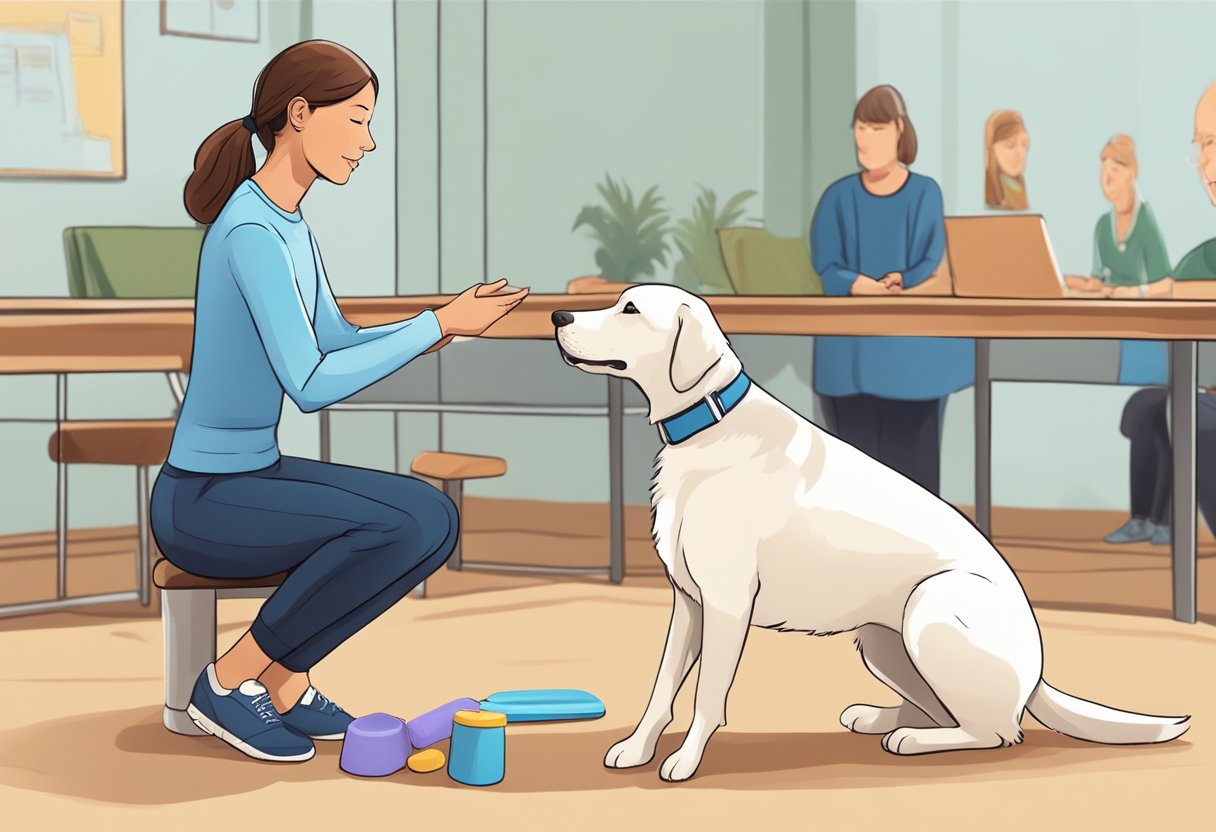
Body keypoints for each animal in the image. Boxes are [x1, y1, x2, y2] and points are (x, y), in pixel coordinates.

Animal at [556, 284, 1191, 778]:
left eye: (630, 309)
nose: (559, 316)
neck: (708, 426)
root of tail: (1036, 672)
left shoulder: (727, 605)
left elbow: (707, 695)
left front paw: (685, 762)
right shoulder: (688, 602)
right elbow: (662, 688)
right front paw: (636, 749)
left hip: (931, 609)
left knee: (996, 730)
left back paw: (910, 739)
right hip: (882, 643)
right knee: (952, 711)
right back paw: (877, 717)